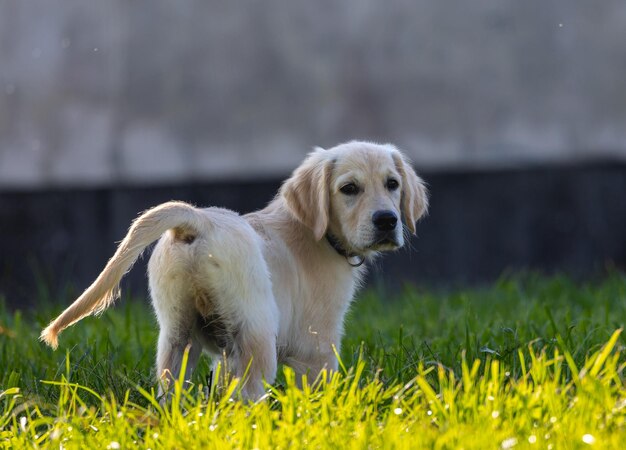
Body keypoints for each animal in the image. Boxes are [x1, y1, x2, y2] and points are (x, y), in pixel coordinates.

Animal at [40, 142, 428, 400]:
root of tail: (199, 219)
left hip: (177, 333)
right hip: (257, 332)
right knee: (250, 393)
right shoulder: (317, 343)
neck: (314, 232)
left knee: (172, 387)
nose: (387, 220)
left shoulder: (225, 355)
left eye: (392, 184)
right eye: (349, 189)